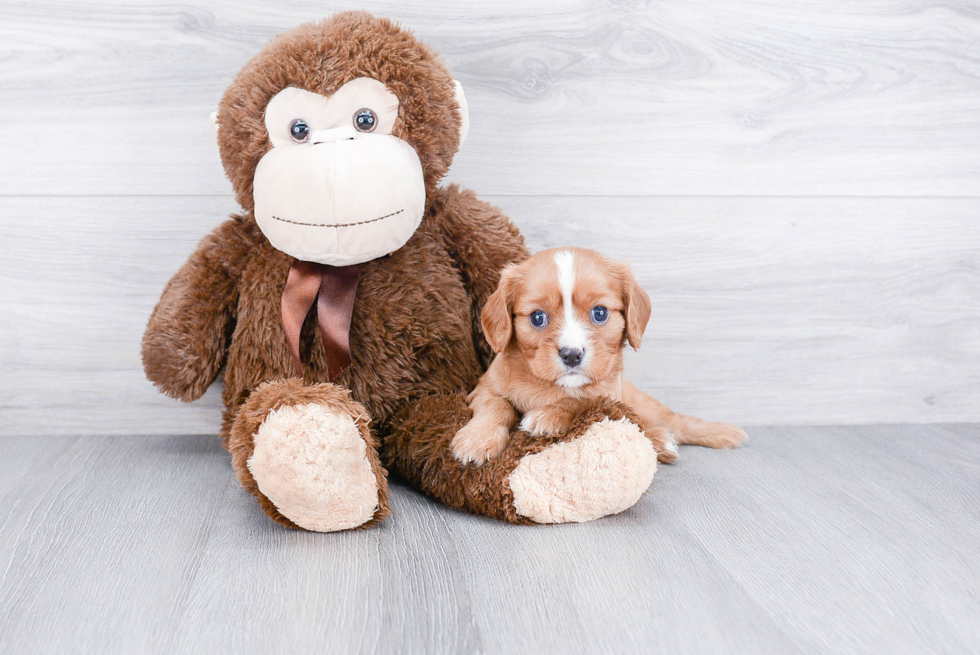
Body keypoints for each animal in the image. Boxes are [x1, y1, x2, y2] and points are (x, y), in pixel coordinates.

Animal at [454, 246, 752, 466]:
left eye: (600, 313)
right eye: (538, 317)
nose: (572, 355)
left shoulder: (608, 393)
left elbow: (582, 400)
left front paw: (548, 416)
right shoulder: (484, 388)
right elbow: (496, 406)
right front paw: (477, 440)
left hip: (646, 405)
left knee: (673, 421)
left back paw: (719, 432)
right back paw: (661, 442)